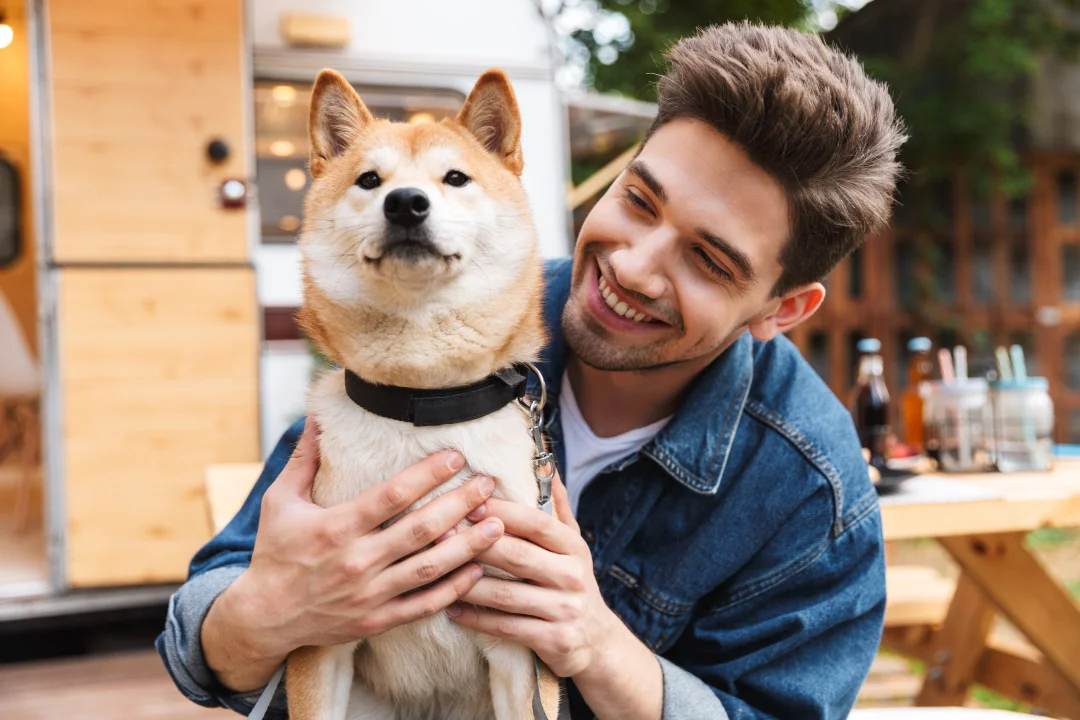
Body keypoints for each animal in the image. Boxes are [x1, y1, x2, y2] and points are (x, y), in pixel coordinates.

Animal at [287, 69, 557, 720]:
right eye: (369, 180)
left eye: (454, 177)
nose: (406, 202)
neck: (425, 407)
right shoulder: (319, 642)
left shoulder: (522, 647)